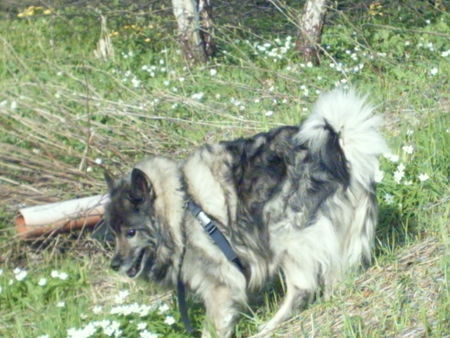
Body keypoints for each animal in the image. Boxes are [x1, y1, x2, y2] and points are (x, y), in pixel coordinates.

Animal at [103, 88, 388, 336]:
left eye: (131, 232)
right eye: (114, 233)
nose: (114, 265)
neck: (181, 209)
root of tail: (341, 154)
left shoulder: (220, 285)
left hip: (284, 234)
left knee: (302, 287)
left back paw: (269, 327)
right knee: (335, 279)